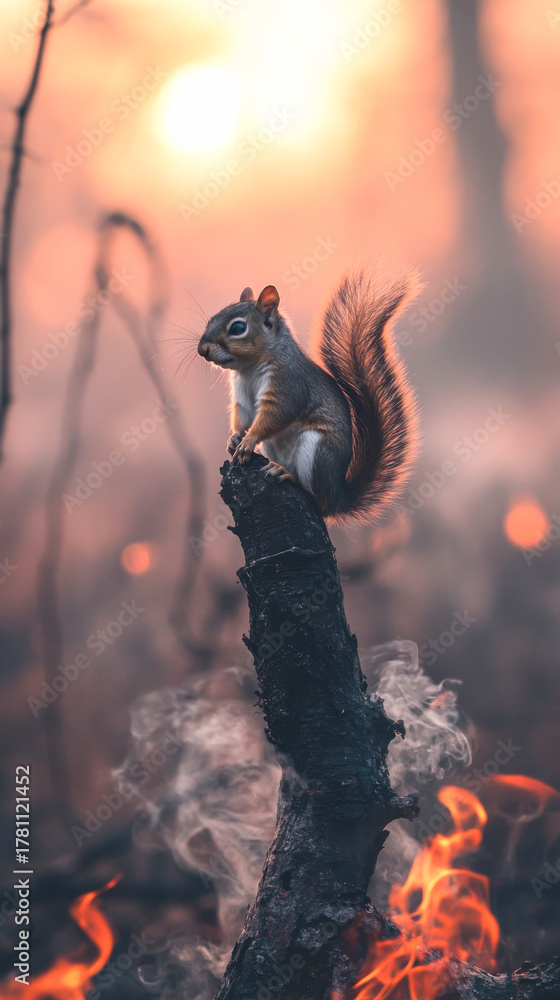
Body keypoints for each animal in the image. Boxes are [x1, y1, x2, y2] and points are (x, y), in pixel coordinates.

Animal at [197, 270, 419, 521]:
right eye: (212, 318)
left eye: (237, 329)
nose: (202, 350)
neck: (249, 368)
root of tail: (338, 497)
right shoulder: (241, 394)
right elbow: (242, 416)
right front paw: (235, 438)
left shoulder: (289, 385)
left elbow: (277, 414)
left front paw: (249, 441)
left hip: (316, 452)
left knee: (319, 501)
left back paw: (288, 475)